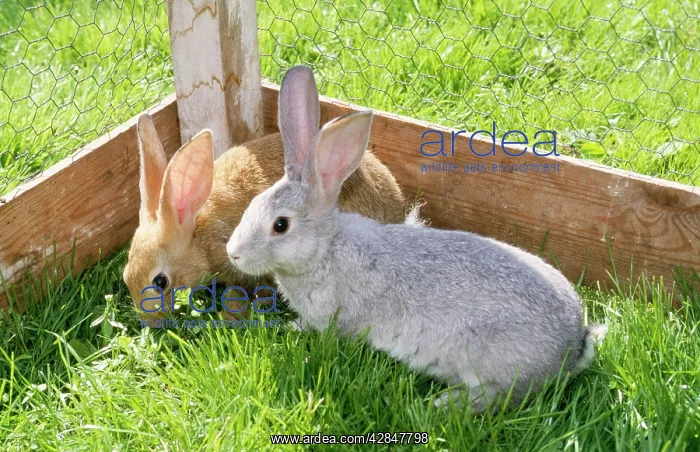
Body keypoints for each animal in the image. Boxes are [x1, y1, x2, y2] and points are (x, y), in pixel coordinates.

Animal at [225, 107, 607, 413]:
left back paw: (443, 404)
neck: (325, 248)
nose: (234, 252)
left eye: (280, 225)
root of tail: (575, 342)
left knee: (499, 397)